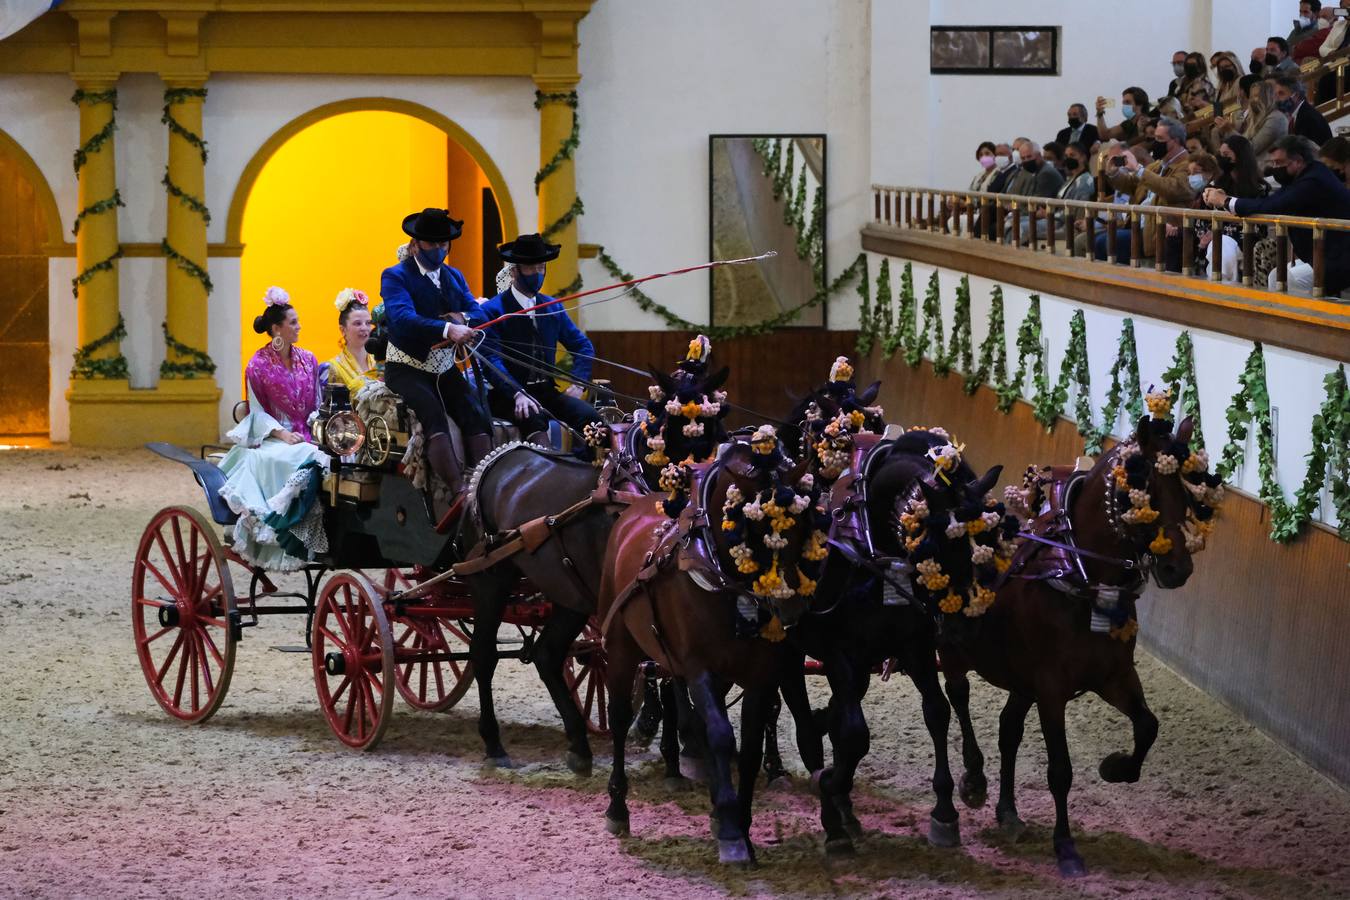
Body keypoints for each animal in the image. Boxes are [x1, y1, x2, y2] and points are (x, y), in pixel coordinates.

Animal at [599, 437, 810, 863]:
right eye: (750, 528)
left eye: (801, 525)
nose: (792, 608)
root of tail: (632, 514)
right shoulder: (700, 668)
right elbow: (720, 735)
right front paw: (731, 833)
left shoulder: (758, 676)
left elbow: (747, 747)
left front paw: (737, 821)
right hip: (622, 646)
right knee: (620, 715)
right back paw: (617, 808)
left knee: (688, 717)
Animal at [939, 412, 1215, 874]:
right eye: (1141, 491)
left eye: (1187, 493)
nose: (1178, 568)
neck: (1080, 577)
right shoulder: (1051, 689)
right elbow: (1060, 770)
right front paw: (1065, 845)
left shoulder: (1114, 676)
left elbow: (1148, 726)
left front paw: (1116, 767)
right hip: (954, 649)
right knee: (957, 698)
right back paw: (974, 780)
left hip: (1020, 680)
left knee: (1008, 730)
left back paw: (1008, 813)